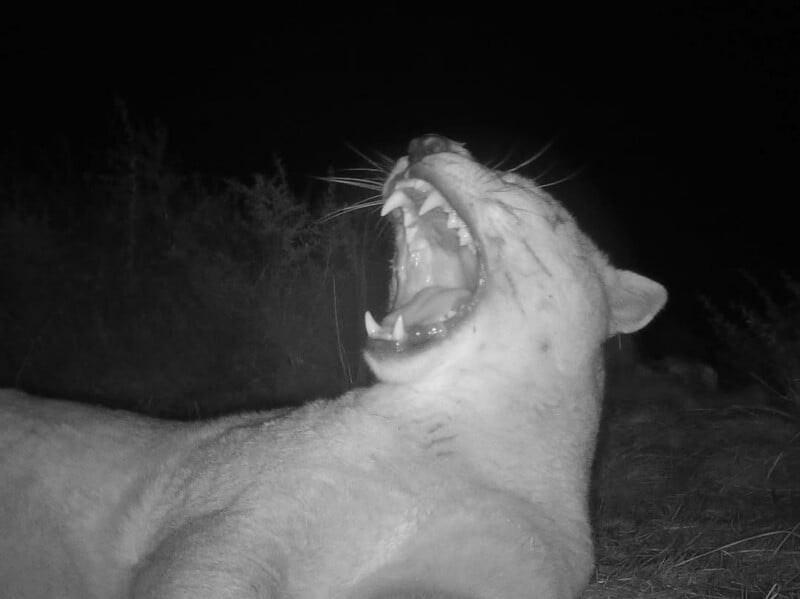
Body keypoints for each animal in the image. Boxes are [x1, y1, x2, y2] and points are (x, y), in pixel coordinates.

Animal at [0, 135, 666, 598]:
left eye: (518, 186)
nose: (428, 141)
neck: (463, 436)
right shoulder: (243, 519)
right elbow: (214, 568)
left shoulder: (491, 562)